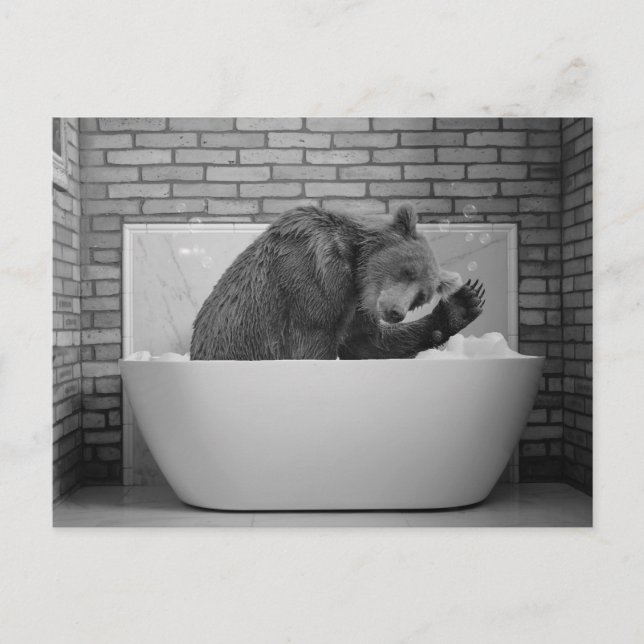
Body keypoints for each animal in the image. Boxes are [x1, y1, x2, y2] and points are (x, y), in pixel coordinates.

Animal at [190, 204, 485, 360]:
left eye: (422, 296)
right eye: (407, 271)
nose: (395, 312)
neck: (354, 265)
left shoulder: (354, 304)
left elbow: (368, 344)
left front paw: (463, 302)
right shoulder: (311, 280)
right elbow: (311, 345)